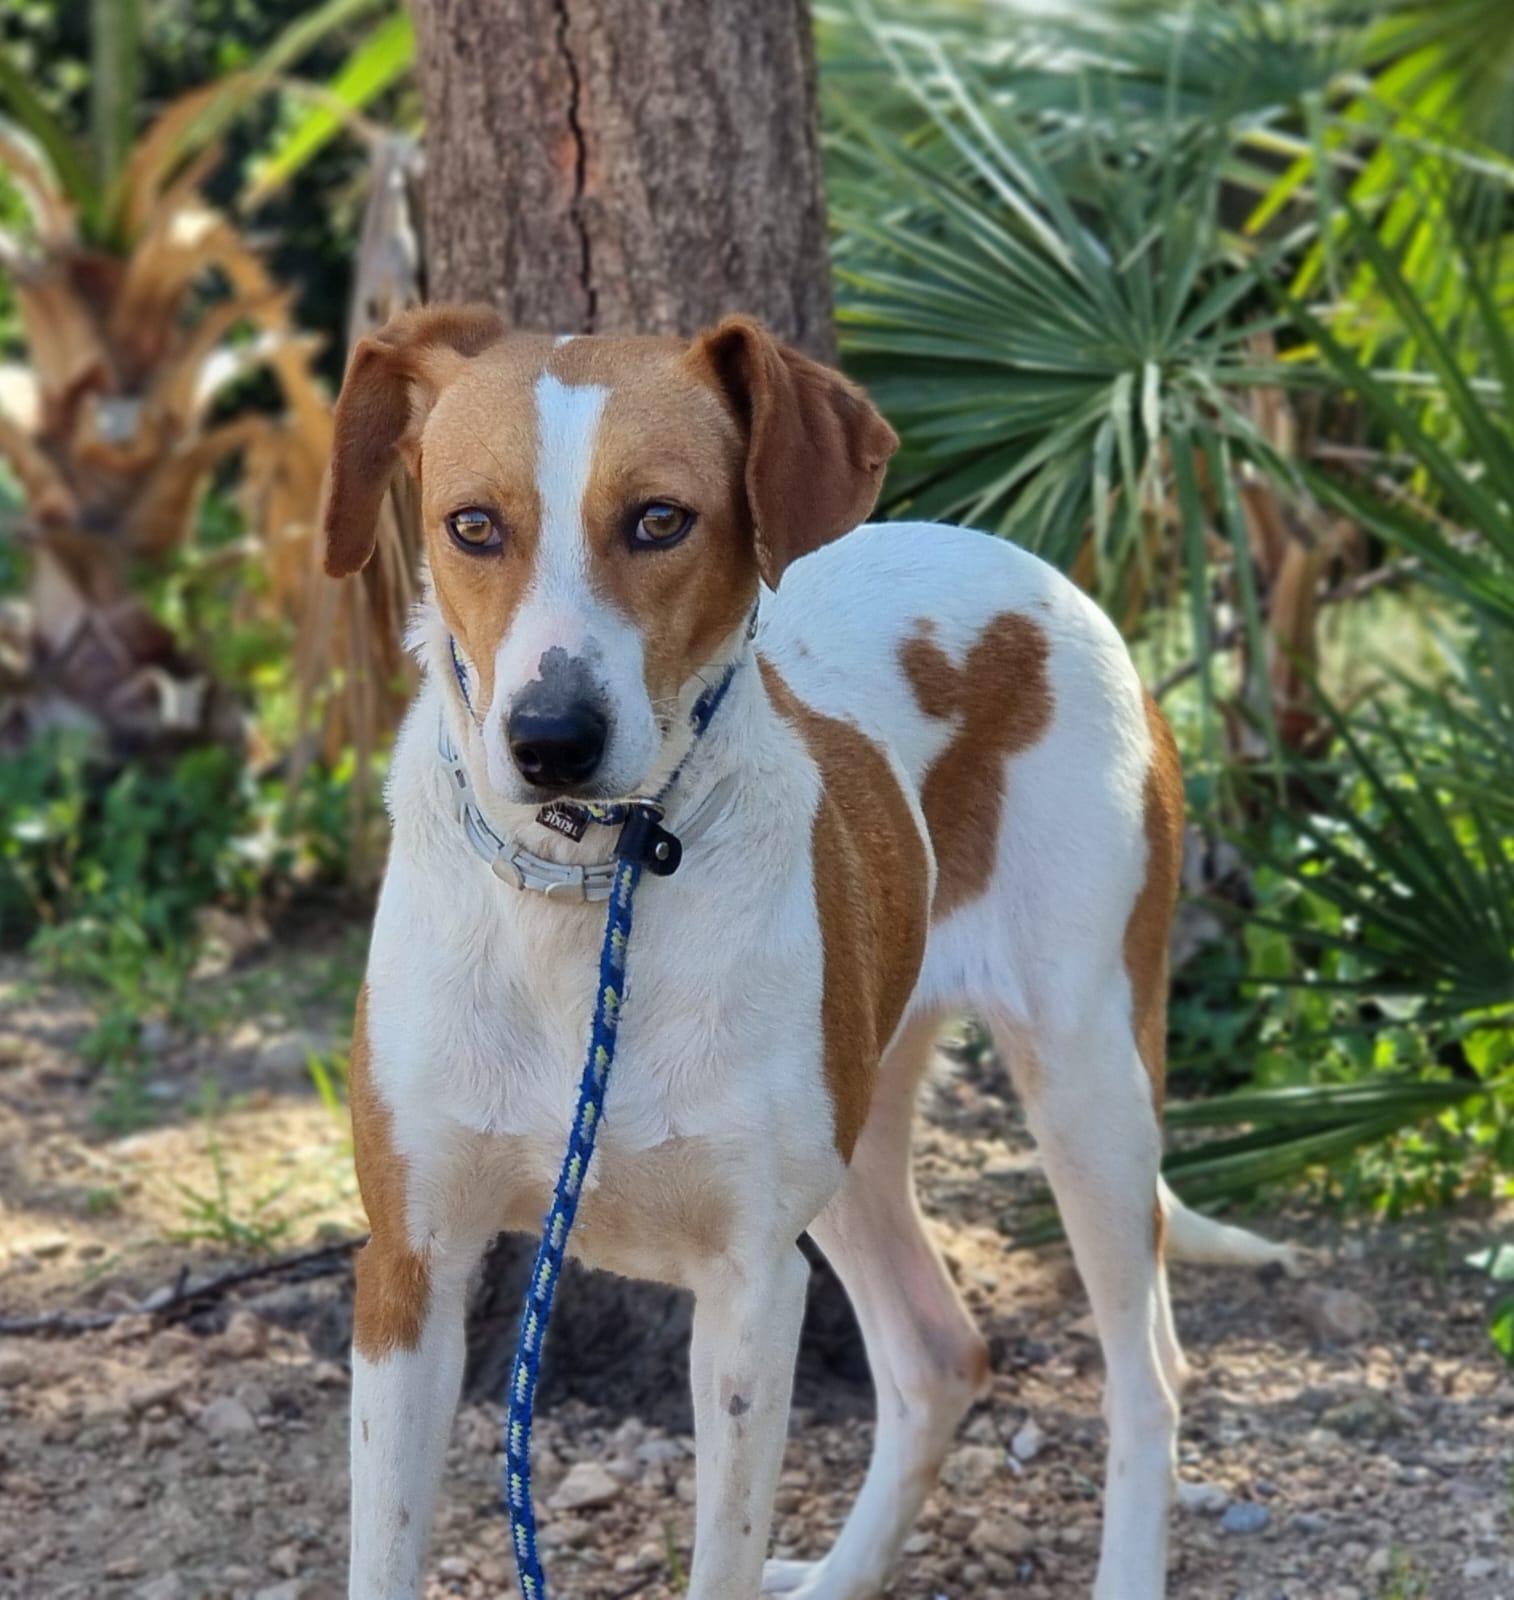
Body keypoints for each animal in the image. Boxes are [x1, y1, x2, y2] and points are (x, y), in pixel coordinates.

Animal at [322, 306, 1296, 1600]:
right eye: (471, 525)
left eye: (660, 519)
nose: (550, 739)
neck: (583, 892)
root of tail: (1026, 568)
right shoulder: (410, 1271)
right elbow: (382, 1549)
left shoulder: (749, 1285)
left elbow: (720, 1562)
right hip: (859, 1124)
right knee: (939, 1354)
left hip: (1087, 1080)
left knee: (1146, 1379)